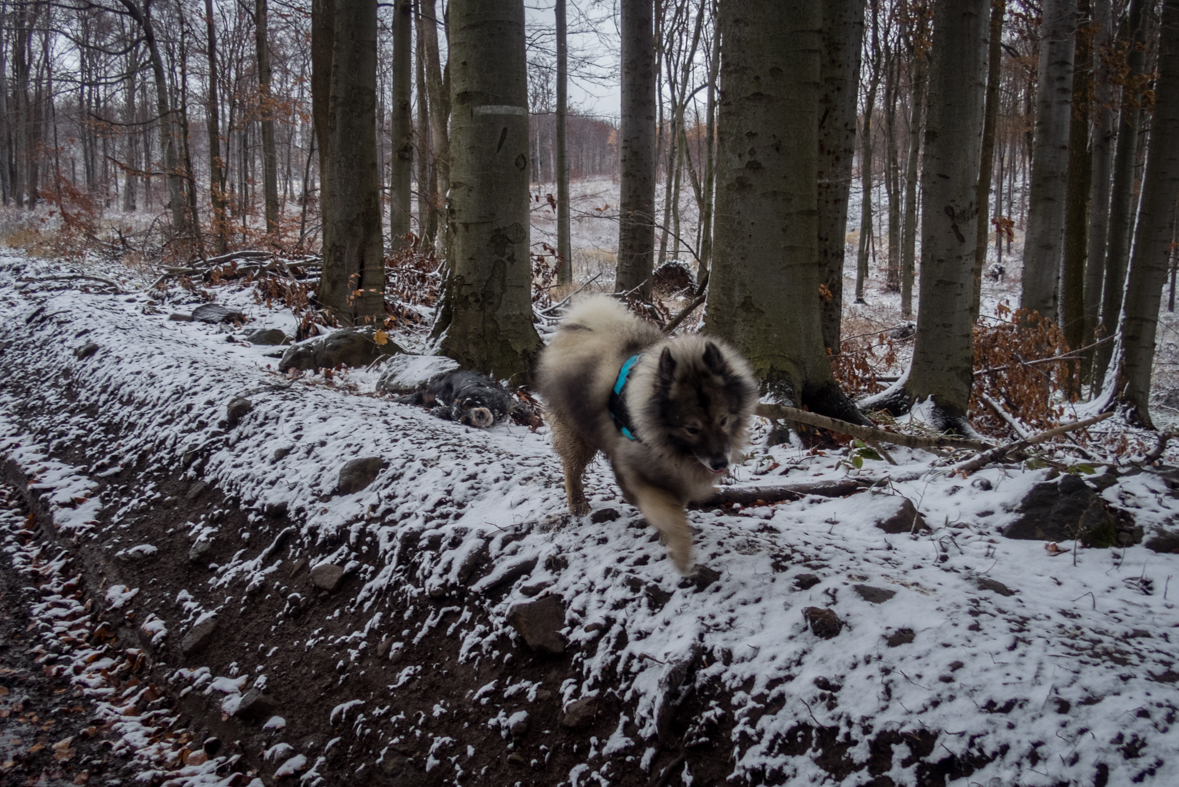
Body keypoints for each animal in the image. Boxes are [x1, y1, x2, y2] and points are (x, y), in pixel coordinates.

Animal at [539, 294, 759, 572]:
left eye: (723, 420)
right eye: (692, 429)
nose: (720, 463)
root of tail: (579, 326)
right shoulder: (639, 467)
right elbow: (667, 510)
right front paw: (681, 551)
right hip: (579, 432)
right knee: (571, 468)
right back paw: (578, 503)